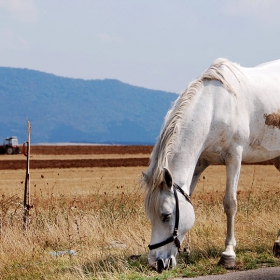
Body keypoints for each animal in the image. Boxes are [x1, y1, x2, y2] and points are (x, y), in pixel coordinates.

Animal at [142, 58, 280, 272]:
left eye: (166, 215)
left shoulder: (234, 157)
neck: (215, 107)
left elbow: (230, 203)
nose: (156, 263)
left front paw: (228, 254)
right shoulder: (200, 162)